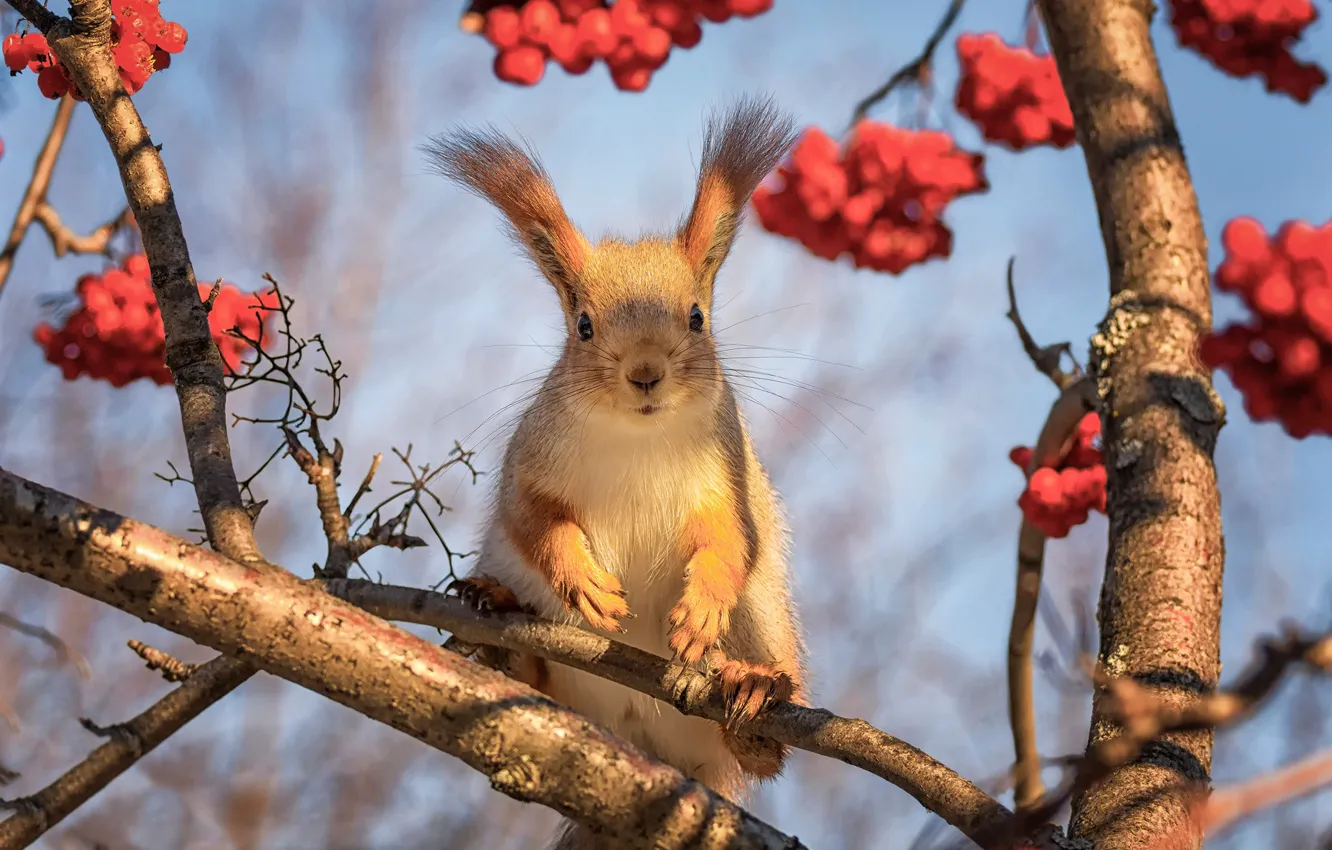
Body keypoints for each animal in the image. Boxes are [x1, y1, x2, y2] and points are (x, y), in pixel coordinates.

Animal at [428, 94, 799, 850]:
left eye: (698, 316)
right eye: (583, 325)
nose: (645, 372)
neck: (639, 438)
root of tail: (650, 749)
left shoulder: (728, 477)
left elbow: (732, 540)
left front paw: (700, 608)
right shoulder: (529, 465)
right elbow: (533, 521)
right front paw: (587, 585)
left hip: (762, 620)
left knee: (765, 755)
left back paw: (752, 691)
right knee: (539, 676)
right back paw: (496, 619)